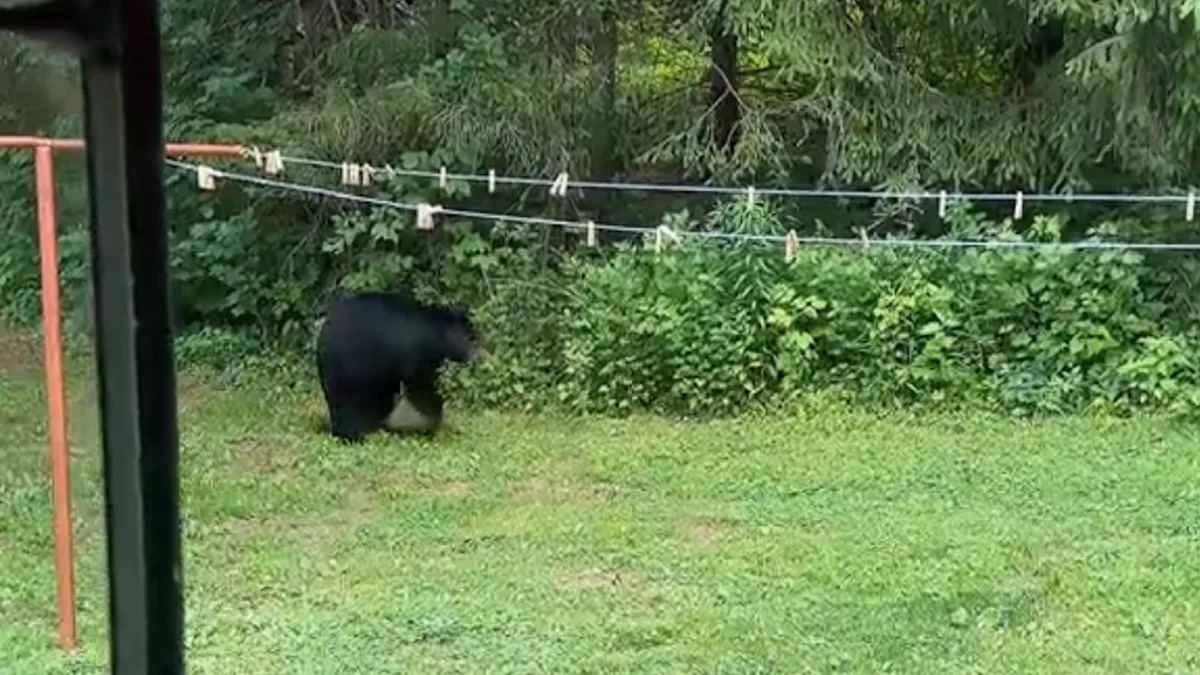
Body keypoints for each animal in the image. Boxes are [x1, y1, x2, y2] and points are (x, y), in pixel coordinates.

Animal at [315, 290, 481, 442]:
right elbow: (423, 389)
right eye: (471, 338)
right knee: (350, 400)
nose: (480, 356)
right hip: (350, 366)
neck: (435, 334)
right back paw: (354, 434)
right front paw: (431, 423)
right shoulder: (416, 356)